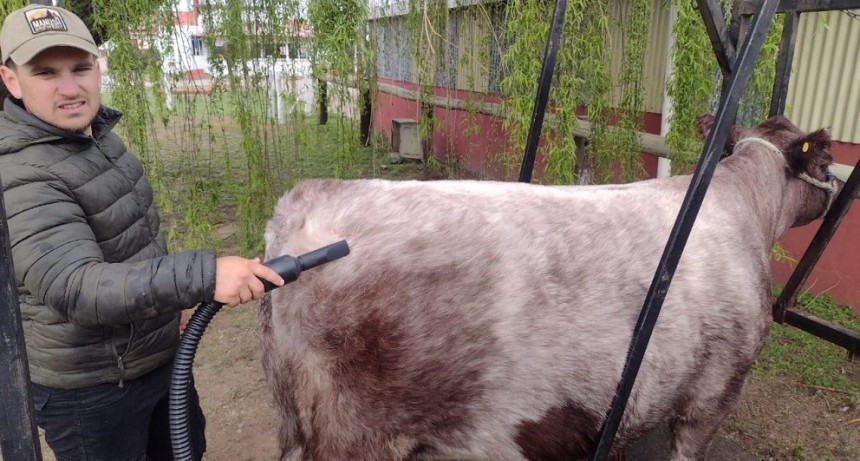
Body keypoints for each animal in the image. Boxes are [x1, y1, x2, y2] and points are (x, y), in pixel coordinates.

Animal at [260, 113, 840, 458]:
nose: (834, 185)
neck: (744, 205)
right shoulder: (714, 395)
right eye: (828, 158)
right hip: (352, 436)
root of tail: (300, 207)